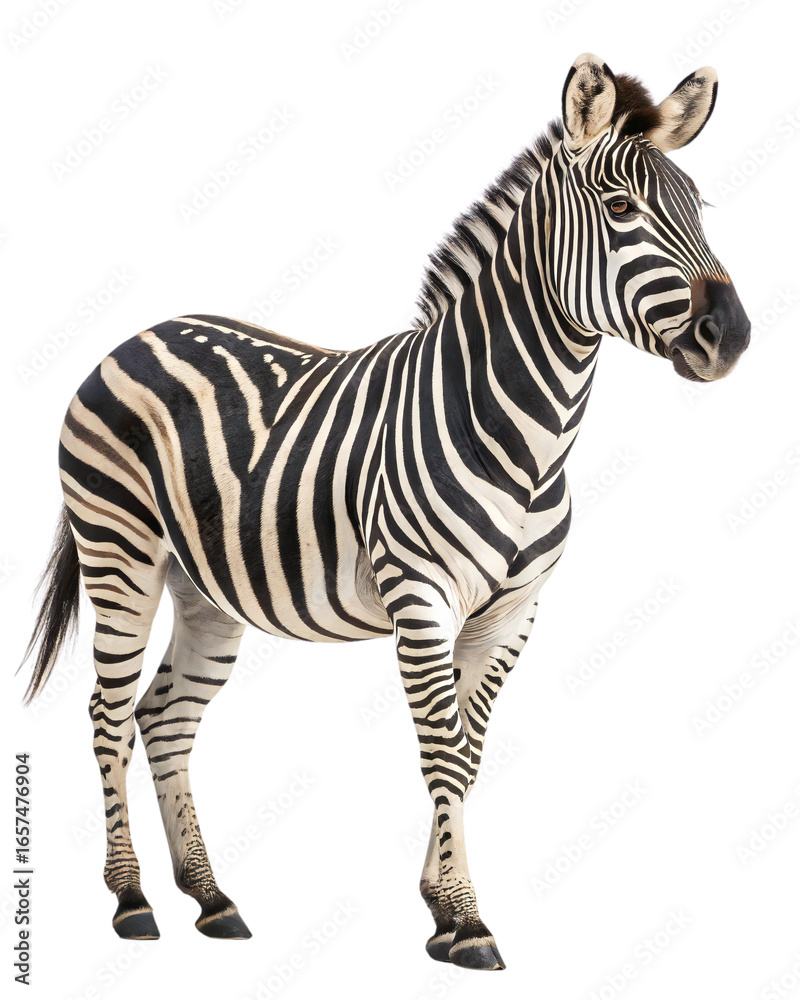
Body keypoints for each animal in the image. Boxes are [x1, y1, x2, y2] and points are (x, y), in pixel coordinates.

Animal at [21, 54, 750, 971]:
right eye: (621, 209)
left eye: (699, 208)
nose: (733, 336)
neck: (522, 430)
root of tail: (136, 335)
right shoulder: (422, 597)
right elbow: (441, 749)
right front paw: (468, 922)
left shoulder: (514, 613)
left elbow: (468, 755)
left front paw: (441, 909)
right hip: (119, 553)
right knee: (108, 714)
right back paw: (130, 901)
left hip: (204, 591)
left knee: (165, 718)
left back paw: (212, 899)